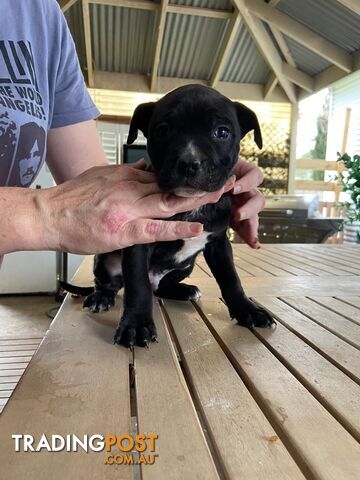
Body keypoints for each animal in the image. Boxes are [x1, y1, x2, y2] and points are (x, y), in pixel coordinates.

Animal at [63, 84, 274, 346]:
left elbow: (231, 279)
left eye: (222, 132)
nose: (189, 162)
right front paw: (136, 324)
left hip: (185, 267)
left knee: (159, 287)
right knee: (113, 284)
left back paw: (184, 290)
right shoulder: (138, 243)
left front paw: (247, 310)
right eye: (163, 130)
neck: (189, 205)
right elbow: (138, 285)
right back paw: (100, 297)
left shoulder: (219, 243)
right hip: (104, 260)